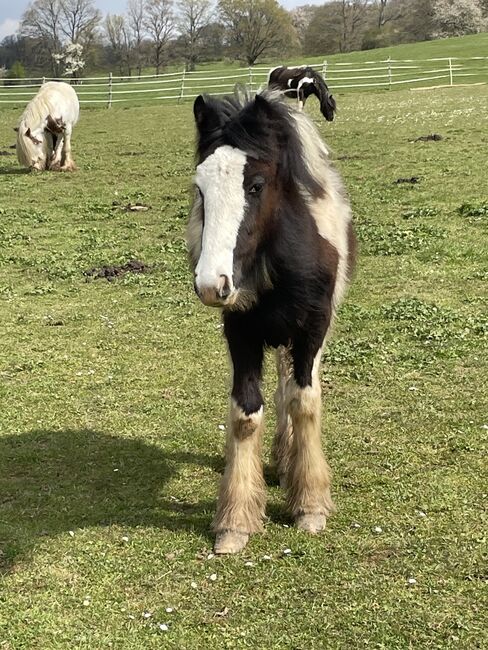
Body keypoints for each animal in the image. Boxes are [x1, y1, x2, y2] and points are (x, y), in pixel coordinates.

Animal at [187, 89, 356, 554]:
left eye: (255, 185)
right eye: (200, 188)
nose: (211, 284)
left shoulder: (313, 328)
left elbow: (305, 401)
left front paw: (310, 504)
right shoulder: (240, 331)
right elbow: (246, 413)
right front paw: (235, 522)